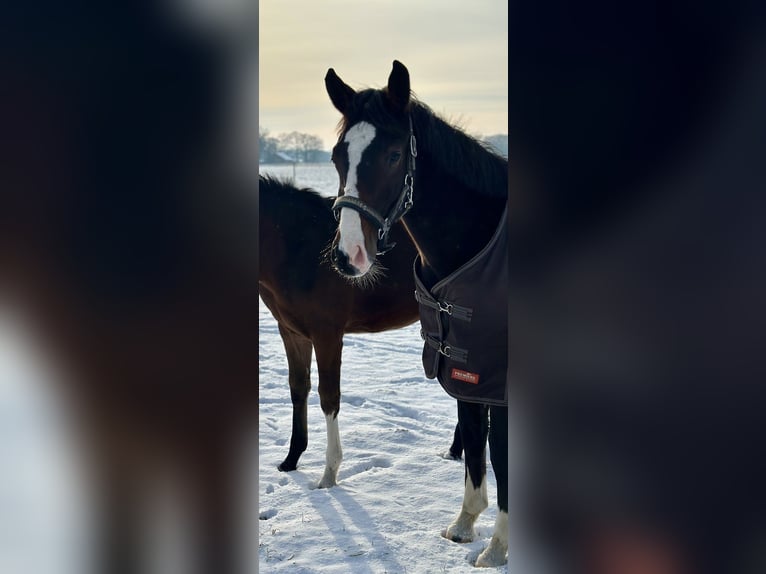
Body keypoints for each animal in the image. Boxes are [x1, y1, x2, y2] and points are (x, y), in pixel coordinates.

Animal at [259, 174, 463, 486]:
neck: (295, 245)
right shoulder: (291, 332)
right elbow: (298, 388)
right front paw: (291, 460)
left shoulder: (327, 335)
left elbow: (329, 397)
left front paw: (329, 475)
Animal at [323, 60, 509, 567]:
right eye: (338, 156)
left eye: (392, 156)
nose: (349, 256)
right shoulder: (469, 370)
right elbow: (475, 442)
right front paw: (465, 525)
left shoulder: (500, 380)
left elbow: (501, 457)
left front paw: (498, 549)